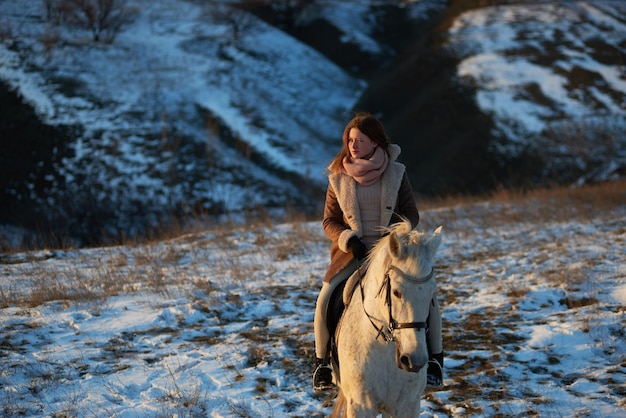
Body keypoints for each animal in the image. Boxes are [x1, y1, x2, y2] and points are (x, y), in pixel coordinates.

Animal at [330, 220, 442, 416]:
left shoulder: (407, 405)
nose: (414, 360)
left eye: (432, 293)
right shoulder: (360, 406)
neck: (385, 346)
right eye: (396, 292)